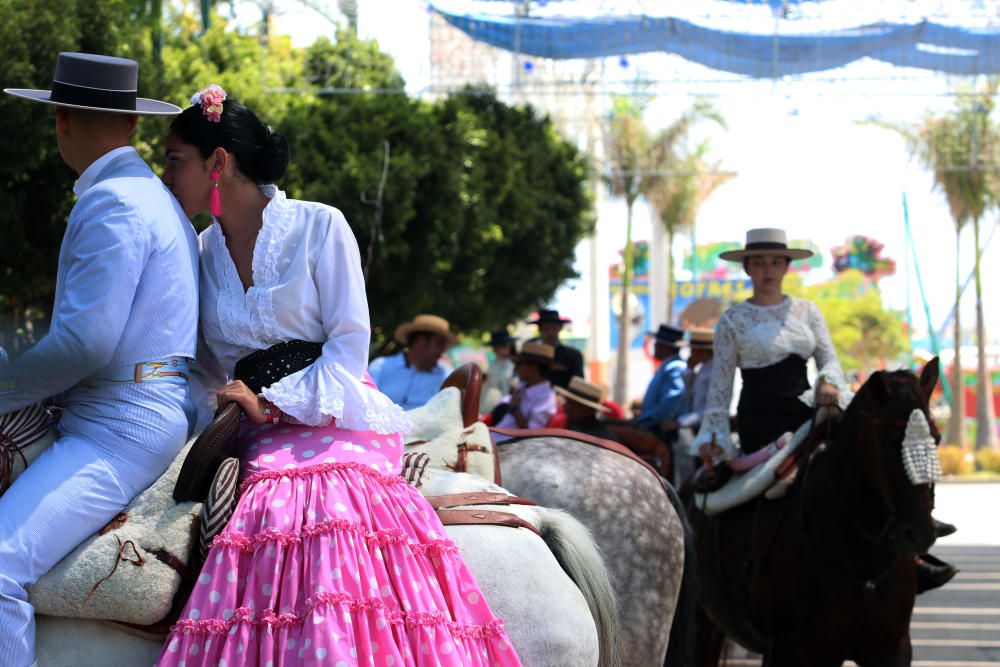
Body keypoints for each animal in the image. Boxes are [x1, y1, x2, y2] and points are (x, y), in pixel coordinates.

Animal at [684, 360, 940, 667]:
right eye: (886, 441)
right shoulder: (790, 650)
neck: (864, 558)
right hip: (703, 625)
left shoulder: (893, 649)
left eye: (937, 438)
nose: (920, 532)